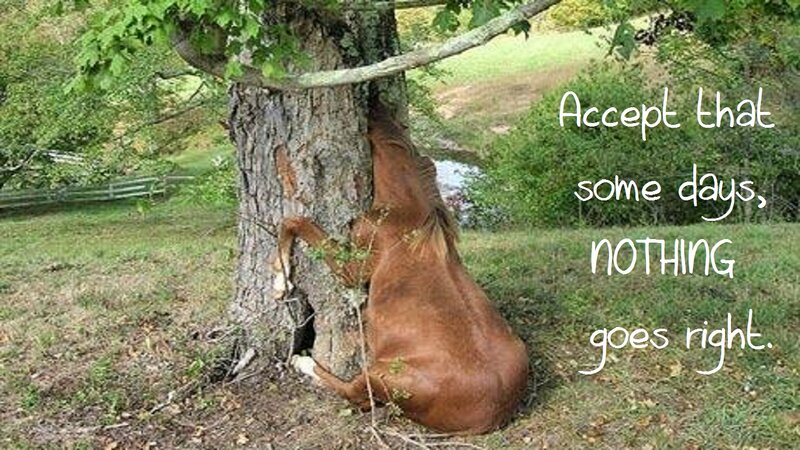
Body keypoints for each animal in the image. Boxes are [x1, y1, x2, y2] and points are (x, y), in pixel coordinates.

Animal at [271, 106, 529, 435]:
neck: (407, 212)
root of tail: (495, 413)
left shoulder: (353, 270)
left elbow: (294, 221)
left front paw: (281, 280)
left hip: (380, 377)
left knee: (355, 394)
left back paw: (300, 362)